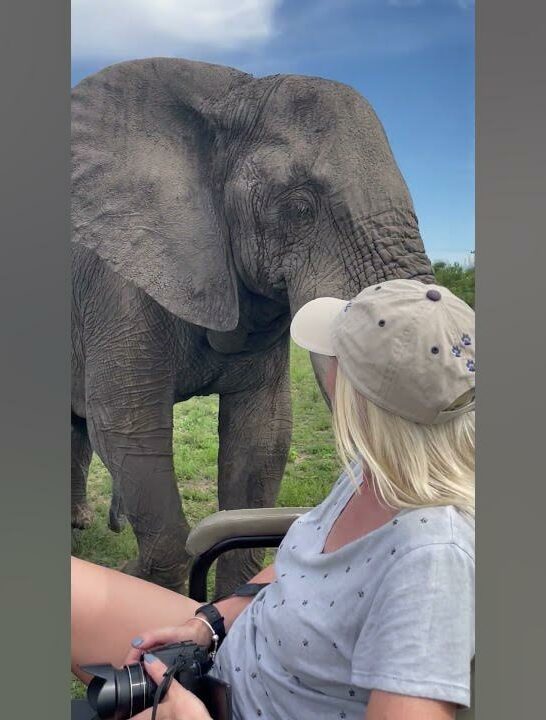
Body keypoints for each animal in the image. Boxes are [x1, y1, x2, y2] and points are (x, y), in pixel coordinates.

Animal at [71, 57, 434, 595]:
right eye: (300, 207)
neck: (231, 91)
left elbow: (262, 438)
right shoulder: (119, 289)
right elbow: (126, 425)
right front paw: (144, 582)